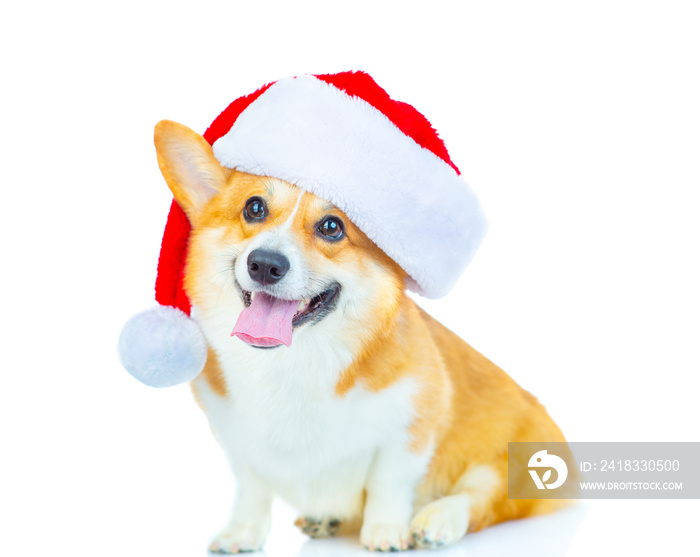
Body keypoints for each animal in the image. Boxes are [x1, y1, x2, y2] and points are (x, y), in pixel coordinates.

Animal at [154, 119, 568, 548]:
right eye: (254, 208)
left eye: (332, 227)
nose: (265, 264)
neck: (291, 362)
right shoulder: (238, 443)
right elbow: (252, 490)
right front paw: (241, 533)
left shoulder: (411, 424)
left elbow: (389, 482)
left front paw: (385, 531)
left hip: (513, 466)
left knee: (482, 498)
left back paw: (438, 518)